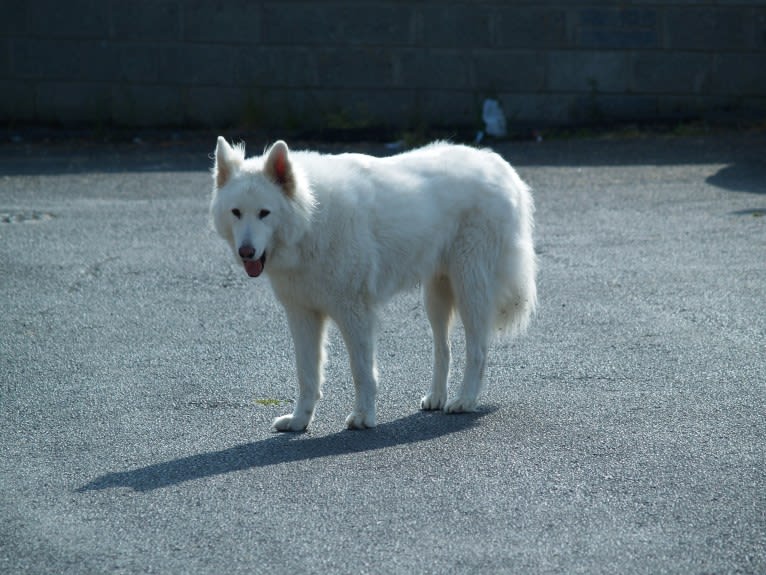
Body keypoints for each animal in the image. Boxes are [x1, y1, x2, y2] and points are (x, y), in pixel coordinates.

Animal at [208, 137, 536, 430]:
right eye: (236, 213)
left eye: (264, 213)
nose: (246, 252)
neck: (311, 218)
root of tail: (499, 165)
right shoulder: (302, 314)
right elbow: (307, 374)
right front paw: (300, 421)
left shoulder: (355, 313)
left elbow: (362, 371)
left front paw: (364, 417)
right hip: (436, 296)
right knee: (443, 348)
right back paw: (437, 397)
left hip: (470, 289)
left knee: (477, 350)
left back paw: (465, 400)